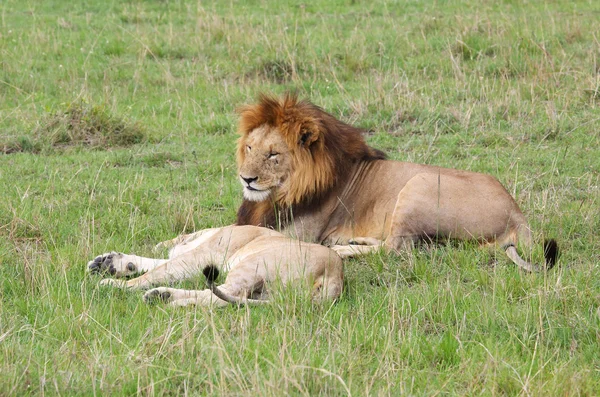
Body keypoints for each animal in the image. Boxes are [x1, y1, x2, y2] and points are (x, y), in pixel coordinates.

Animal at [88, 224, 342, 304]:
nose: (161, 243)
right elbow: (158, 263)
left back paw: (164, 297)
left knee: (225, 294)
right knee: (225, 299)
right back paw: (166, 298)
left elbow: (158, 270)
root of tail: (334, 277)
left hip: (252, 264)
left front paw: (115, 283)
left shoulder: (200, 256)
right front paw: (108, 263)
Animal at [234, 94, 556, 270]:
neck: (282, 191)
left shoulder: (301, 232)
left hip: (419, 183)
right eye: (249, 148)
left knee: (396, 249)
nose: (246, 179)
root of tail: (517, 213)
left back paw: (341, 250)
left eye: (273, 154)